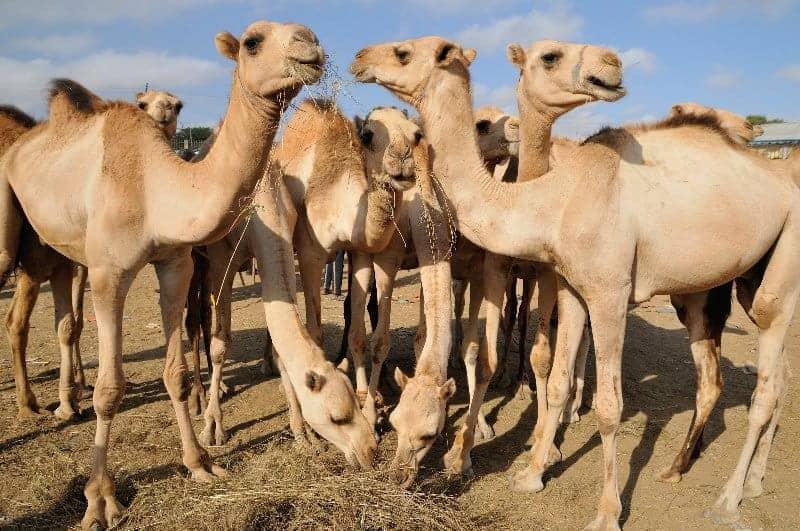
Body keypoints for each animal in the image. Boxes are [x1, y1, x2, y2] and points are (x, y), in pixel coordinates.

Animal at [4, 90, 186, 422]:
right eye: (142, 103)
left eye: (178, 105)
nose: (163, 112)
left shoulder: (77, 261)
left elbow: (71, 324)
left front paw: (73, 397)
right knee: (16, 322)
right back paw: (28, 404)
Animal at [351, 36, 797, 528]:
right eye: (394, 425)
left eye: (403, 52)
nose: (359, 58)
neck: (551, 198)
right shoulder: (569, 287)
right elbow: (558, 376)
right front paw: (531, 474)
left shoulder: (609, 293)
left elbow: (609, 406)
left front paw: (606, 513)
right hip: (723, 285)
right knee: (754, 375)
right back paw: (717, 475)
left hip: (785, 259)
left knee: (766, 378)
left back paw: (728, 498)